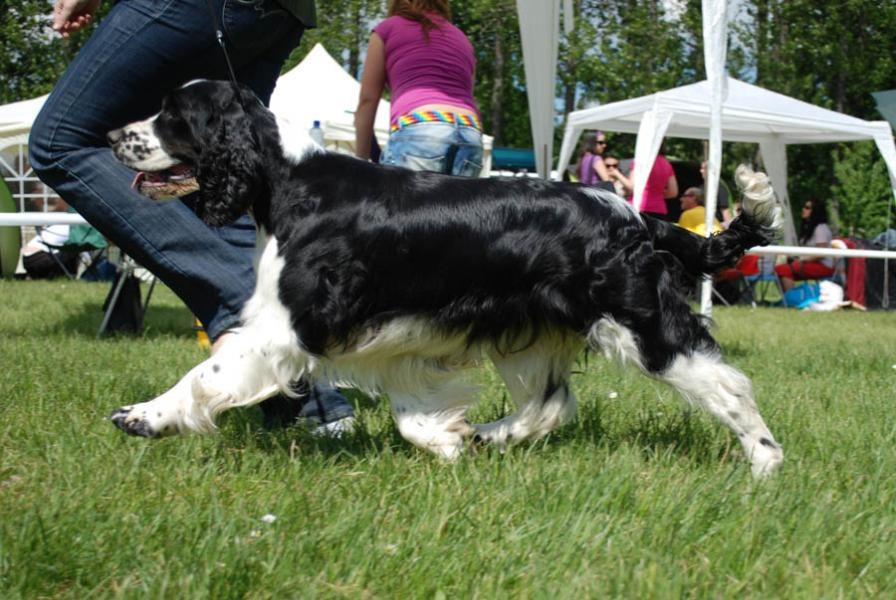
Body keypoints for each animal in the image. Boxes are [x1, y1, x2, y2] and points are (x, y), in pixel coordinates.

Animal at [107, 79, 784, 476]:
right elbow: (411, 408)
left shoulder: (288, 324)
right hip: (531, 330)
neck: (291, 178)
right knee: (551, 402)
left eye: (171, 115)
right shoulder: (390, 331)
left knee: (729, 388)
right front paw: (448, 439)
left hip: (641, 322)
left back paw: (764, 467)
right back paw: (489, 435)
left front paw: (144, 416)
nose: (114, 134)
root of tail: (632, 215)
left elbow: (208, 372)